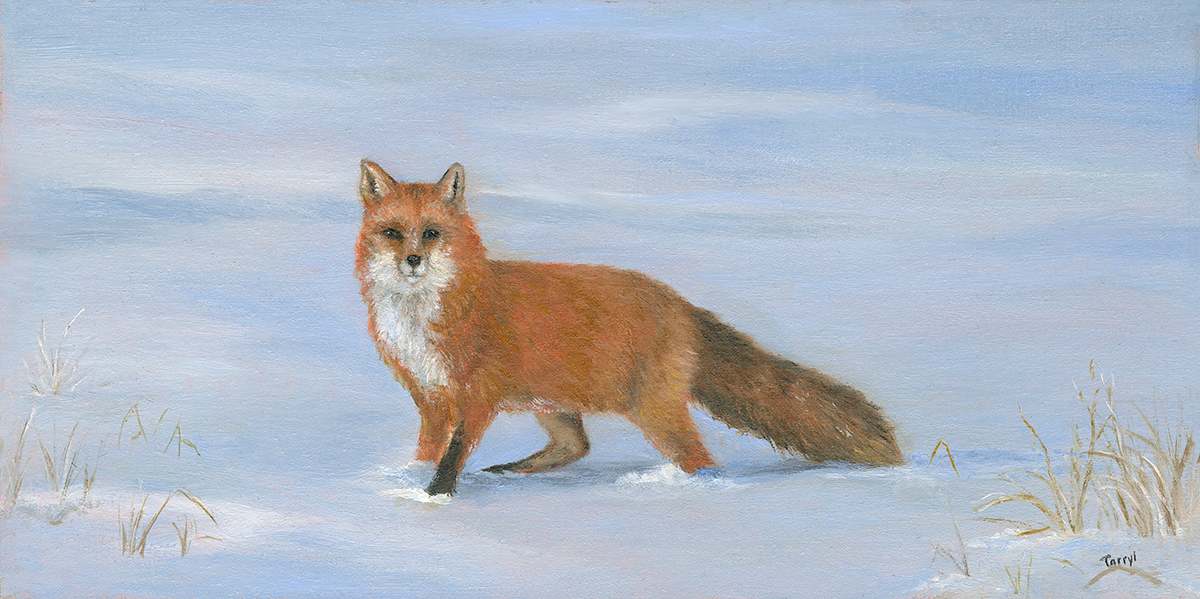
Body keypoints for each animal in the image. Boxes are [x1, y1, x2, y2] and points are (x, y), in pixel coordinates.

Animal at [355, 161, 903, 496]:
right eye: (392, 232)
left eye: (431, 233)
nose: (412, 261)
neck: (423, 316)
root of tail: (680, 302)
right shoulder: (430, 396)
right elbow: (430, 450)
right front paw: (410, 481)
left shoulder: (476, 395)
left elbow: (452, 456)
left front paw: (434, 499)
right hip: (554, 402)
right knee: (577, 448)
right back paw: (513, 471)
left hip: (653, 411)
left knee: (700, 460)